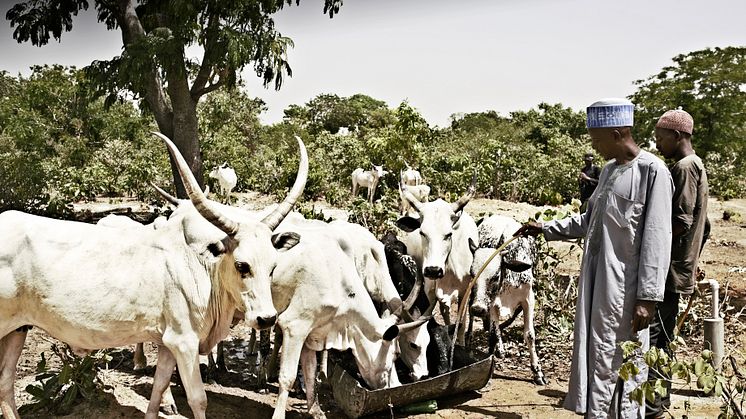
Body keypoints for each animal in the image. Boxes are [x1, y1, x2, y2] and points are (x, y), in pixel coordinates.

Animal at [0, 133, 308, 418]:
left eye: (273, 266)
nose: (267, 318)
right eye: (242, 265)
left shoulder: (167, 344)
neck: (199, 269)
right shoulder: (184, 343)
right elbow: (198, 399)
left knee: (5, 382)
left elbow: (159, 387)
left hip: (18, 329)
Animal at [396, 178, 476, 344]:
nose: (433, 270)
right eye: (422, 233)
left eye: (449, 234)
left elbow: (461, 323)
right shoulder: (430, 290)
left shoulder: (465, 291)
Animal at [470, 217, 548, 388]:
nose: (477, 309)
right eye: (472, 274)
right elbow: (493, 333)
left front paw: (538, 372)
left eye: (495, 276)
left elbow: (530, 335)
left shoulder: (528, 299)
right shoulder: (492, 303)